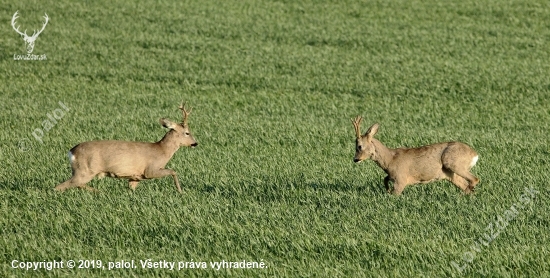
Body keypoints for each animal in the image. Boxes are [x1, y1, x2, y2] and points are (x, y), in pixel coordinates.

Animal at [55, 102, 198, 193]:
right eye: (187, 133)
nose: (195, 143)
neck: (161, 150)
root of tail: (71, 152)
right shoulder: (150, 170)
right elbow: (173, 171)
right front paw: (180, 191)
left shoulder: (136, 176)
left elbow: (131, 189)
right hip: (84, 170)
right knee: (61, 186)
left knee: (76, 185)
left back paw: (99, 192)